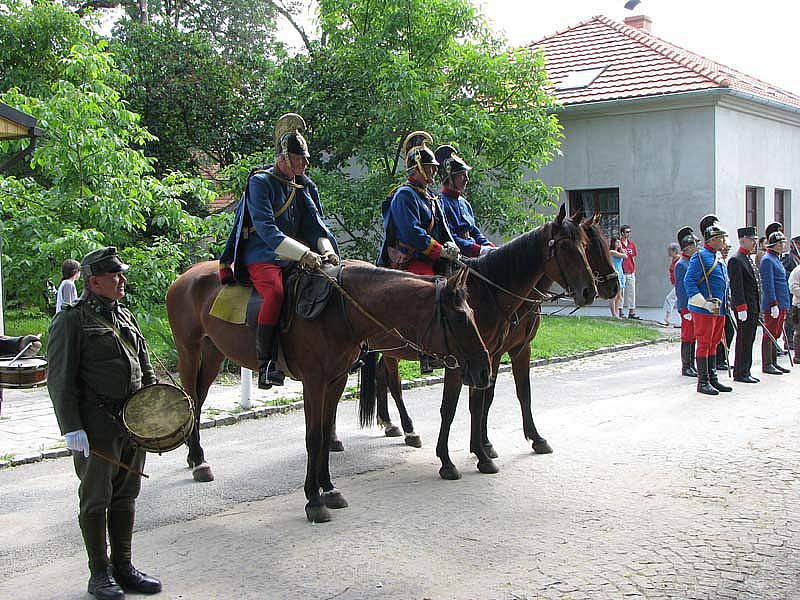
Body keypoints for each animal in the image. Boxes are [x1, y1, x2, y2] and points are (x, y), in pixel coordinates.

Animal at [166, 262, 490, 520]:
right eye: (460, 319)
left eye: (475, 312)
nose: (484, 370)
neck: (341, 311)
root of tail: (185, 276)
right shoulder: (314, 382)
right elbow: (313, 437)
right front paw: (313, 500)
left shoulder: (336, 381)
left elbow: (324, 434)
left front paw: (329, 489)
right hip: (189, 351)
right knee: (191, 399)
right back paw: (199, 461)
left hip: (213, 352)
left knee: (198, 399)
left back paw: (195, 457)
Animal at [360, 205, 596, 478]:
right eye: (565, 247)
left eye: (585, 245)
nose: (590, 291)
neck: (486, 293)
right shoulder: (459, 362)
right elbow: (450, 408)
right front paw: (448, 460)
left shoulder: (493, 356)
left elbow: (488, 401)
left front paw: (484, 452)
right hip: (390, 351)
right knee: (393, 384)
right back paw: (408, 429)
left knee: (380, 376)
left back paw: (389, 424)